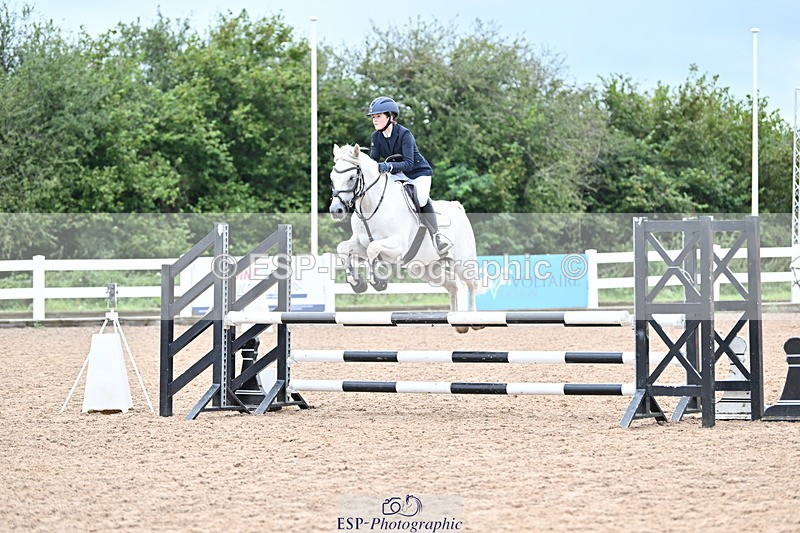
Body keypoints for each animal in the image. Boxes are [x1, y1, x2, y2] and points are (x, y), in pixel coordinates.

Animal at [329, 143, 480, 333]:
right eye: (332, 178)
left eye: (351, 178)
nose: (336, 211)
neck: (372, 206)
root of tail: (457, 207)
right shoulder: (360, 245)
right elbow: (344, 248)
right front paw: (356, 283)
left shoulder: (397, 247)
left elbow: (373, 249)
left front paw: (377, 281)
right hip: (425, 268)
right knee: (452, 285)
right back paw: (458, 322)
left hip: (462, 262)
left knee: (471, 284)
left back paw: (473, 320)